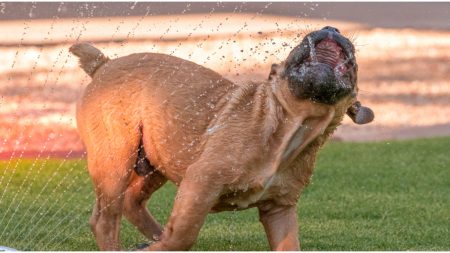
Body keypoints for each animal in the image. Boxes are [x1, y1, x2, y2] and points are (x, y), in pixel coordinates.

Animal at [69, 26, 372, 251]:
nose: (331, 28)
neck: (291, 127)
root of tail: (103, 65)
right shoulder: (201, 180)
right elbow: (185, 233)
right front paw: (162, 245)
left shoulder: (280, 209)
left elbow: (289, 246)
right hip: (116, 159)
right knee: (105, 220)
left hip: (158, 159)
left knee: (131, 201)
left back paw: (154, 237)